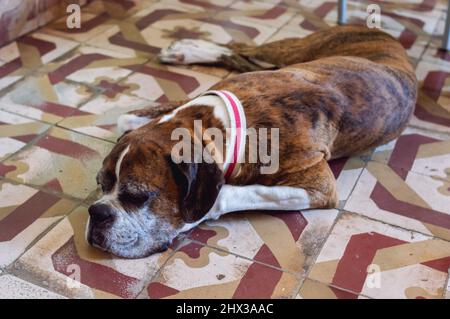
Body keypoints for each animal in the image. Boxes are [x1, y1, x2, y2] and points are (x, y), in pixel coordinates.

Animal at [88, 26, 418, 258]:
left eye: (138, 196)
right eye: (100, 184)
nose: (96, 212)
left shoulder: (320, 187)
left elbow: (232, 194)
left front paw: (197, 215)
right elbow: (125, 119)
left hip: (294, 52)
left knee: (246, 51)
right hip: (292, 54)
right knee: (241, 51)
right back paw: (186, 49)